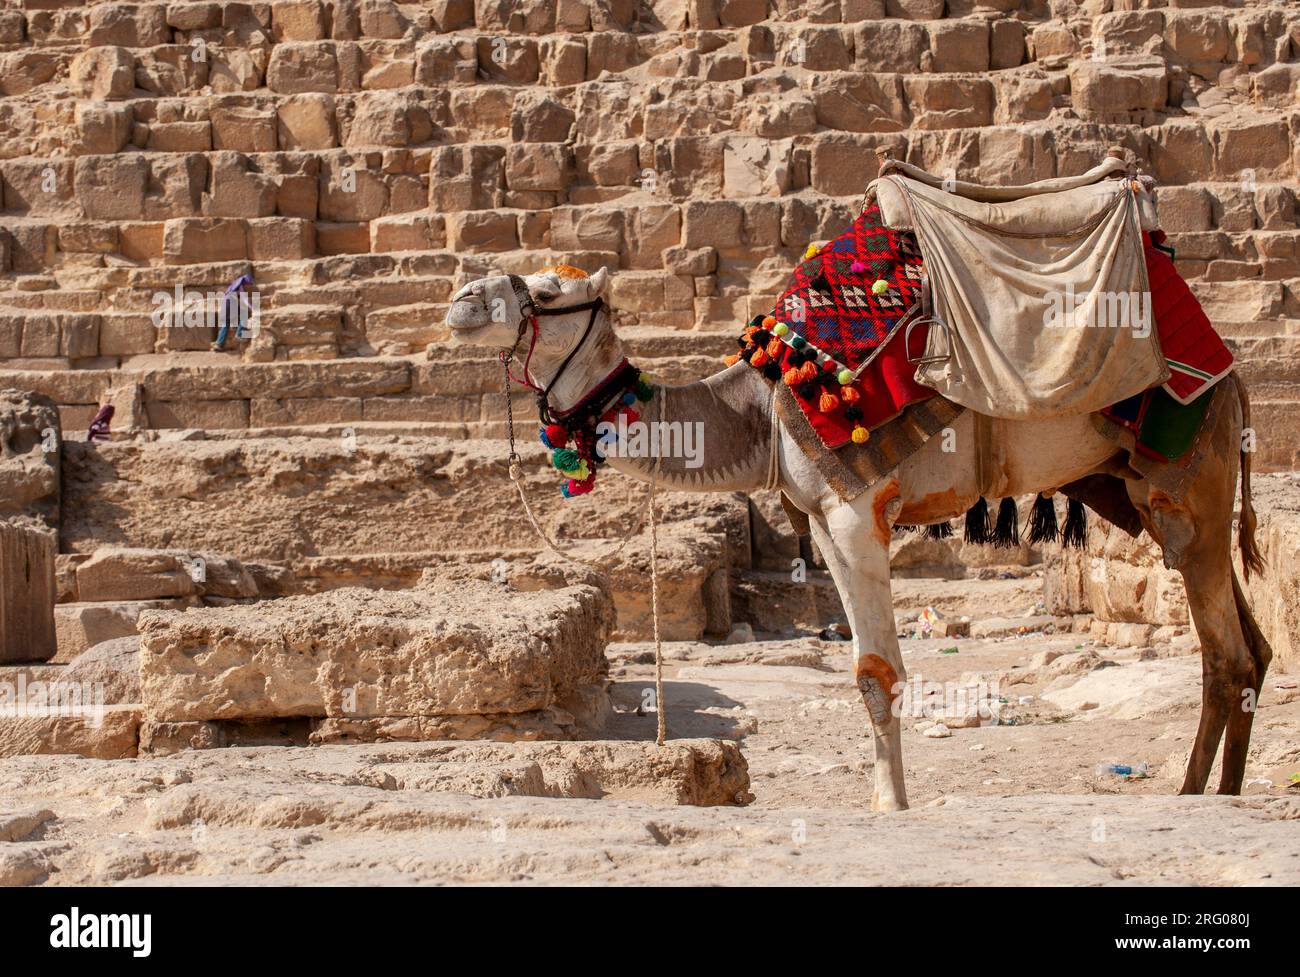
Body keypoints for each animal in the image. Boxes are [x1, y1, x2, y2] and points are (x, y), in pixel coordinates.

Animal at [447, 264, 1270, 812]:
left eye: (551, 291)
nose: (460, 301)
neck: (757, 413)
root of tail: (1233, 375)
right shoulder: (819, 515)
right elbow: (867, 668)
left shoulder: (853, 507)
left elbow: (877, 673)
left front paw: (891, 806)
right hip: (1134, 488)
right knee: (1248, 645)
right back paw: (1219, 788)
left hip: (1187, 476)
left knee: (1224, 650)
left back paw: (1196, 797)